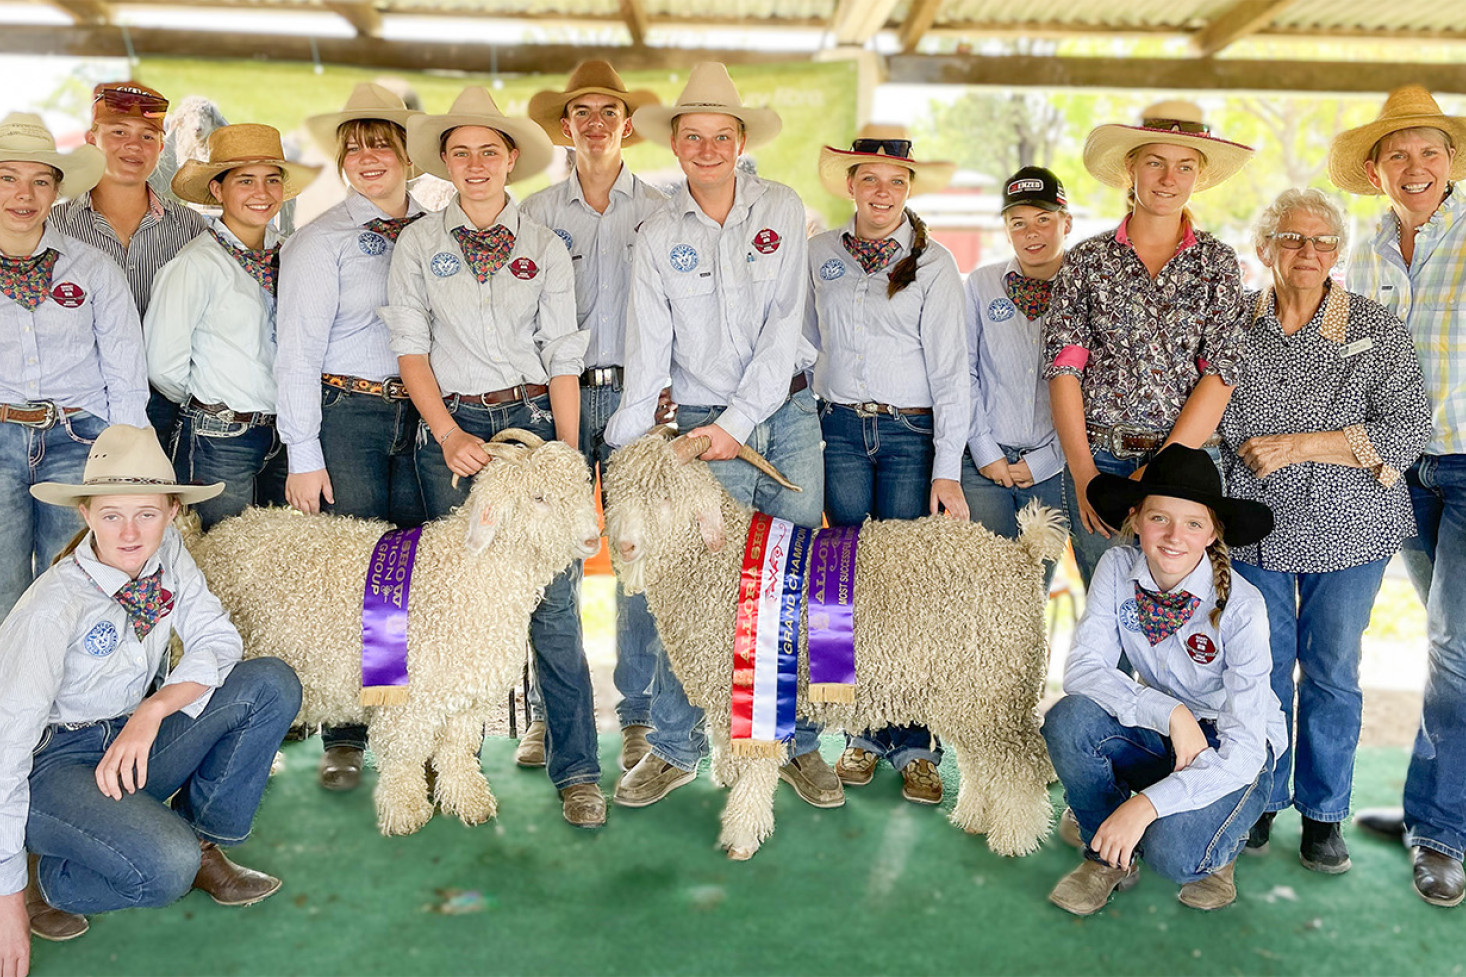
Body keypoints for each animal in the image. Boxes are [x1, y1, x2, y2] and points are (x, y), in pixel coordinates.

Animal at [186, 431, 598, 833]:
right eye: (539, 497)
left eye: (582, 488)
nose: (593, 539)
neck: (460, 574)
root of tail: (208, 539)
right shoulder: (408, 696)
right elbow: (404, 754)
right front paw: (406, 813)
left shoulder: (466, 699)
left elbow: (457, 752)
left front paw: (470, 804)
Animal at [606, 431, 1067, 856]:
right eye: (615, 495)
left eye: (666, 497)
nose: (626, 546)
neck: (724, 565)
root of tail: (1022, 553)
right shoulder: (726, 690)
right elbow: (730, 743)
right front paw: (728, 775)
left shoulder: (760, 689)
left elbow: (756, 768)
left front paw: (742, 834)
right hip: (968, 690)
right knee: (980, 760)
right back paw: (974, 817)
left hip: (996, 686)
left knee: (1018, 762)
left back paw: (1014, 836)